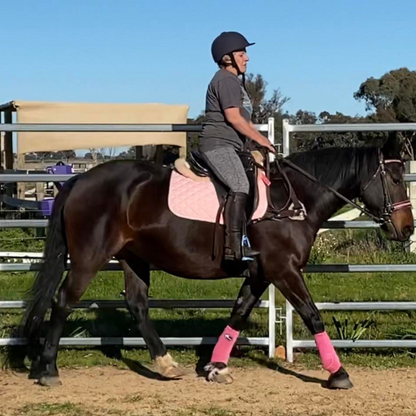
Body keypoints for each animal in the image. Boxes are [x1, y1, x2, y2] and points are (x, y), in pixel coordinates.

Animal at [13, 137, 412, 390]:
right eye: (394, 178)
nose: (407, 228)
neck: (293, 200)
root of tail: (79, 179)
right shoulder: (283, 270)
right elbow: (312, 314)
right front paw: (338, 373)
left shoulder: (261, 272)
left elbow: (238, 313)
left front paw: (215, 366)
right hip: (89, 257)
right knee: (63, 301)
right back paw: (49, 369)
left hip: (133, 257)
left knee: (137, 304)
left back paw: (166, 364)